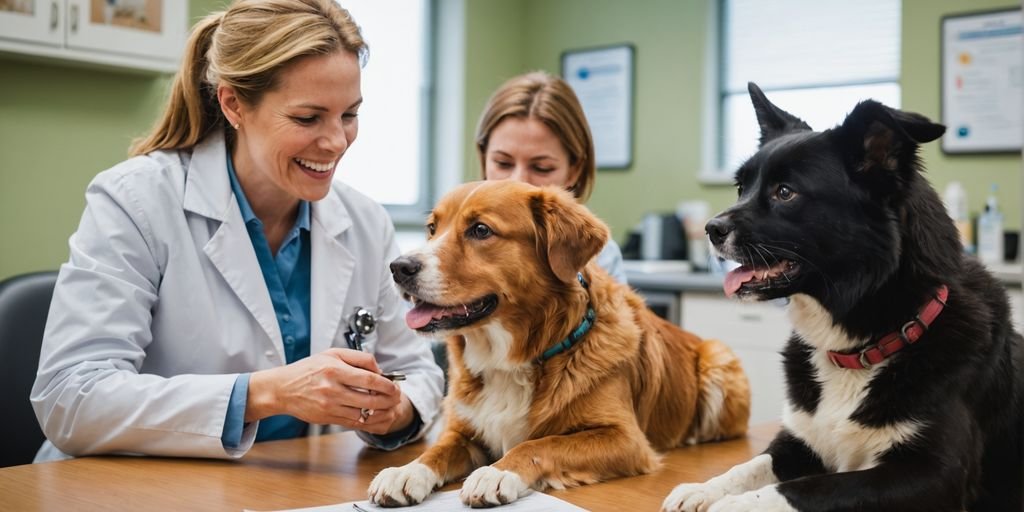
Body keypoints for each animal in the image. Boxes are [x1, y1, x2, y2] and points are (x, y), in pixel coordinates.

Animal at [366, 181, 745, 507]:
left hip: (719, 360)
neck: (515, 358)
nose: (399, 267)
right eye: (432, 228)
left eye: (481, 230)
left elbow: (541, 443)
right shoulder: (465, 431)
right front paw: (406, 471)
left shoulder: (626, 439)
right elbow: (437, 450)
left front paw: (497, 473)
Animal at [659, 81, 1019, 509]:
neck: (861, 348)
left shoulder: (936, 476)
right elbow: (750, 466)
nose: (710, 230)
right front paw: (703, 488)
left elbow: (805, 488)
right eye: (741, 188)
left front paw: (731, 504)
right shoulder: (799, 439)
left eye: (785, 192)